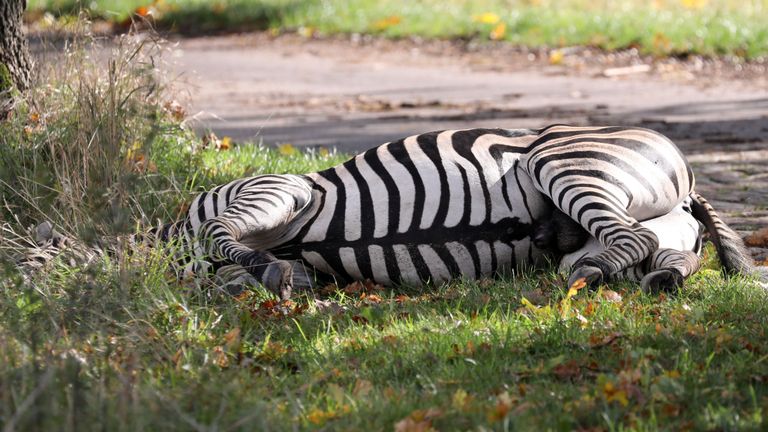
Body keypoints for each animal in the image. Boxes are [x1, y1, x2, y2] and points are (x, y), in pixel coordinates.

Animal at [149, 125, 756, 298]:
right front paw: (271, 275)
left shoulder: (279, 189)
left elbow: (221, 230)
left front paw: (265, 270)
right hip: (664, 228)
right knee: (663, 254)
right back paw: (659, 279)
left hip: (564, 160)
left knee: (630, 240)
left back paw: (593, 274)